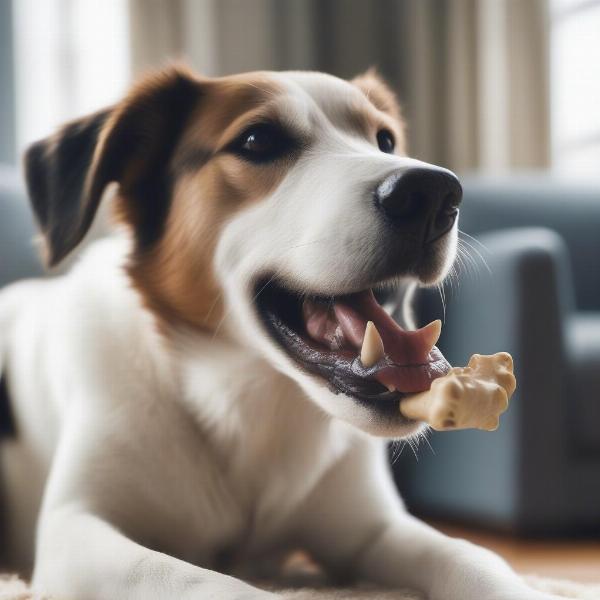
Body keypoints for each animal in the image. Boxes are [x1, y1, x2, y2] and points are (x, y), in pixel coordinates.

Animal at [1, 68, 564, 596]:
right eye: (257, 140)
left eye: (384, 140)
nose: (432, 192)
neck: (250, 401)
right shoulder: (76, 532)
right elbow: (204, 581)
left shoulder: (372, 530)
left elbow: (472, 555)